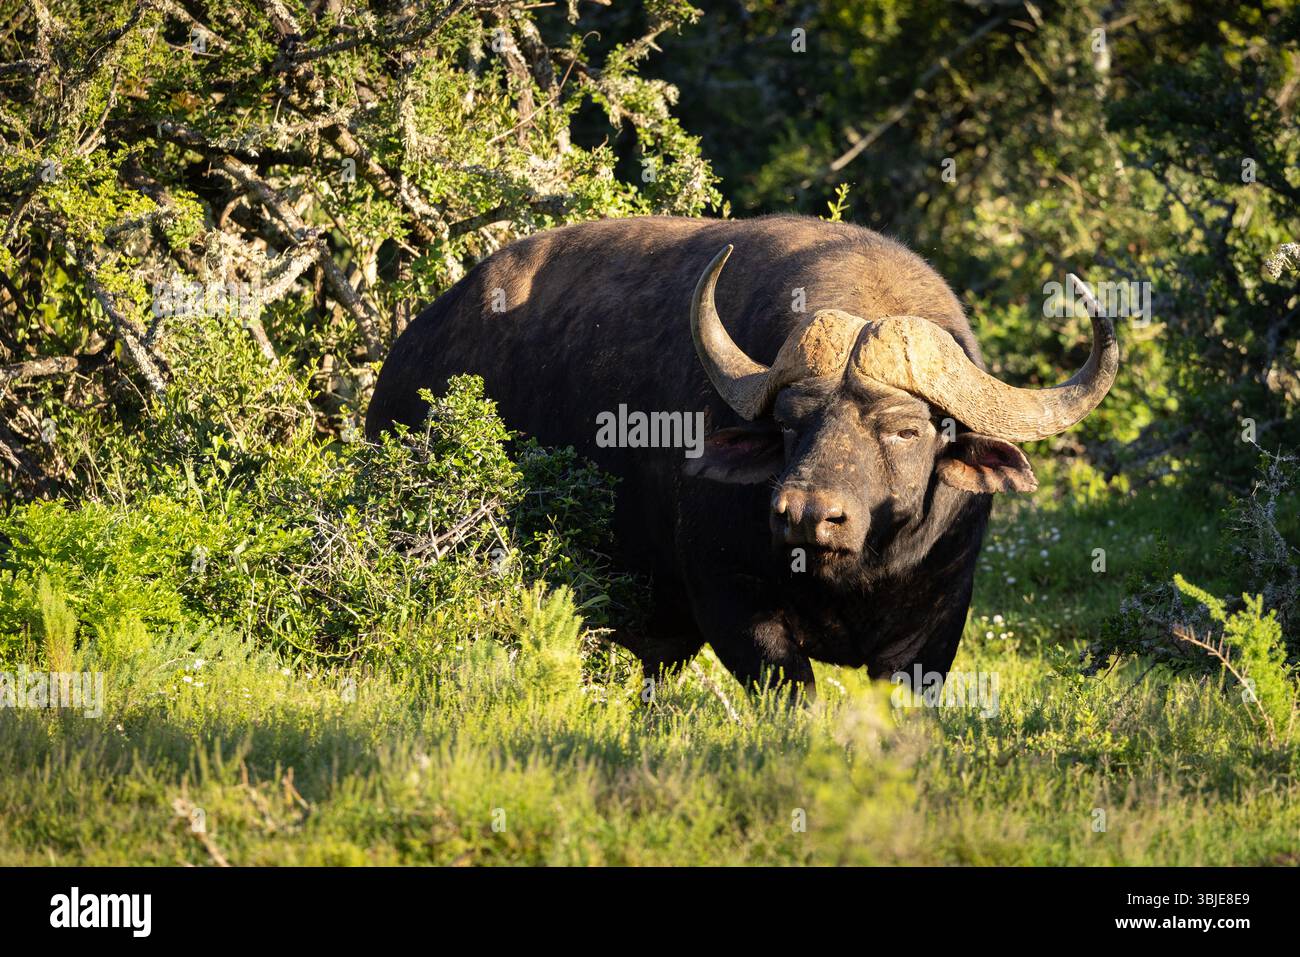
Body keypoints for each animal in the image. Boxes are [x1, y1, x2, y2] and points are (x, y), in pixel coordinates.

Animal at [366, 215, 1117, 697]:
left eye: (906, 430)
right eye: (789, 423)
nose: (806, 513)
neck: (851, 576)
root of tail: (404, 363)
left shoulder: (932, 631)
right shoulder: (734, 606)